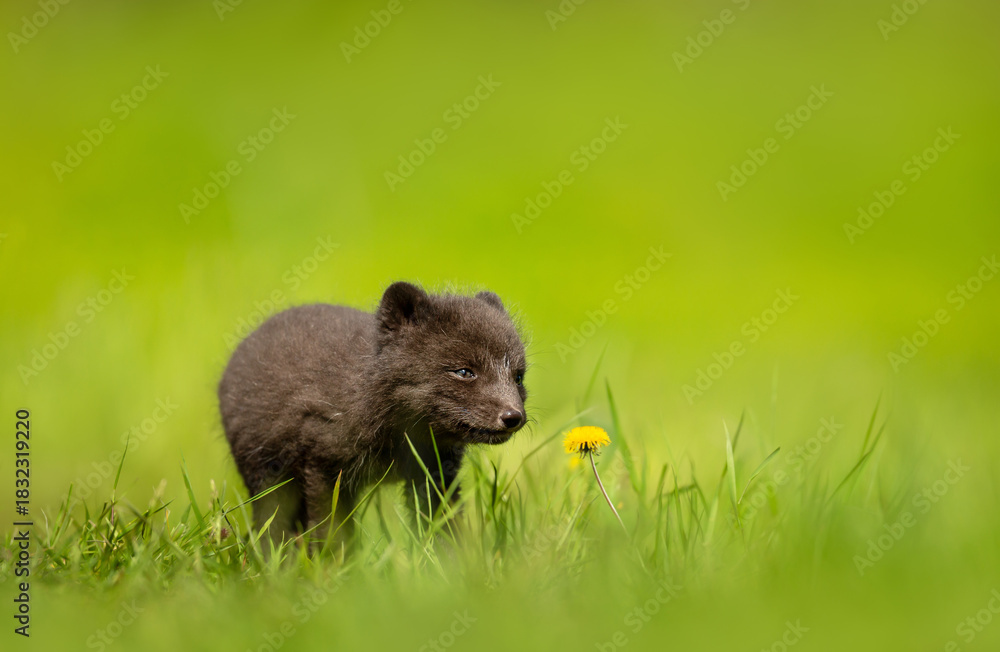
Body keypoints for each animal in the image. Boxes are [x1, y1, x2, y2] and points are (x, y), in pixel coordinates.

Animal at [218, 281, 528, 544]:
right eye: (464, 372)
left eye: (518, 376)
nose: (513, 417)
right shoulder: (322, 465)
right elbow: (331, 530)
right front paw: (334, 568)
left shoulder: (436, 471)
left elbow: (441, 526)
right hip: (266, 475)